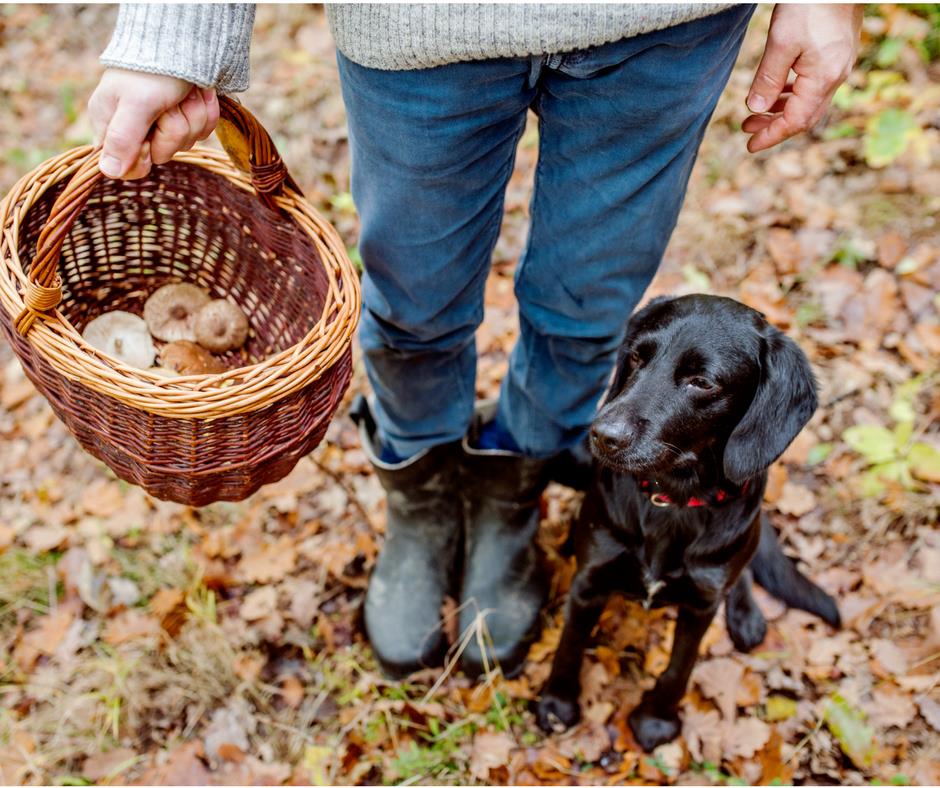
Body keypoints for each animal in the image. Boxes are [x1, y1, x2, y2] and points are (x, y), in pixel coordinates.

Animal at [536, 294, 836, 752]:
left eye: (702, 382)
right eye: (636, 357)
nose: (603, 434)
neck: (672, 501)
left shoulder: (700, 606)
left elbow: (681, 667)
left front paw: (656, 721)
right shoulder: (589, 581)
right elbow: (569, 645)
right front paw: (557, 704)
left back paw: (746, 614)